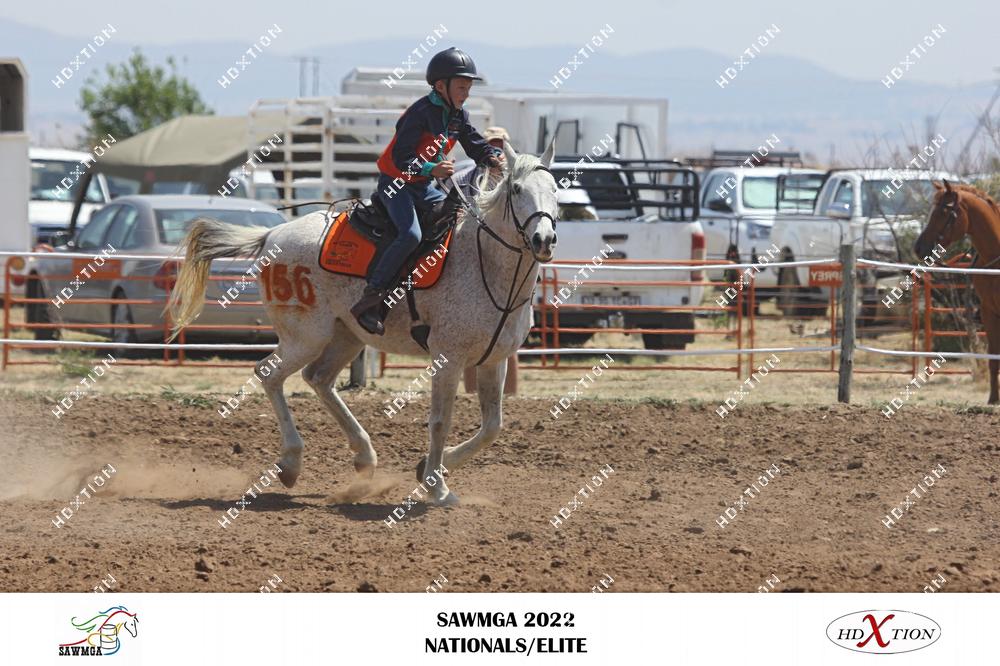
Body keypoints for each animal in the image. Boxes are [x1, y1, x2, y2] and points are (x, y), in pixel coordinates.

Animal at [167, 143, 558, 505]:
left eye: (555, 188)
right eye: (517, 189)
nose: (544, 239)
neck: (485, 264)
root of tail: (271, 236)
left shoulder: (494, 360)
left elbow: (492, 426)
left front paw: (427, 469)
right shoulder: (447, 358)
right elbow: (440, 421)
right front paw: (438, 488)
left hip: (347, 335)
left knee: (318, 378)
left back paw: (363, 456)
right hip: (306, 336)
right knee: (269, 374)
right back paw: (292, 463)